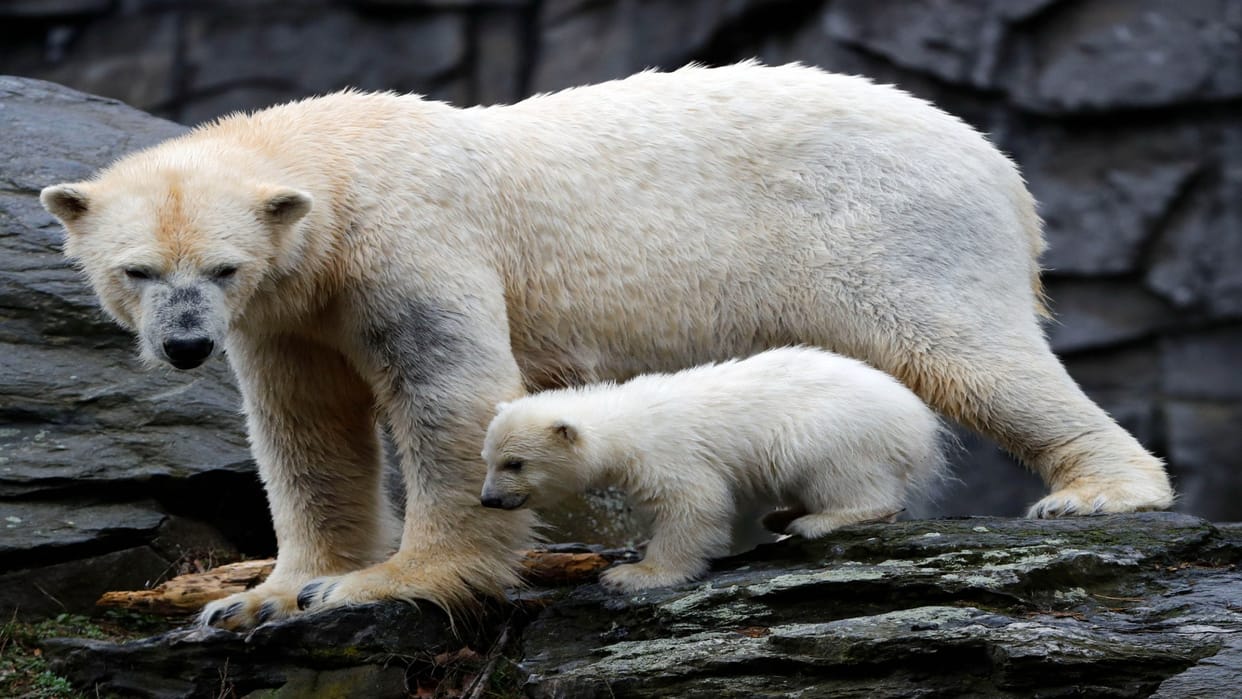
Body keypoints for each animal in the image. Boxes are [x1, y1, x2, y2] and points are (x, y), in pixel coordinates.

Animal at [479, 346, 948, 592]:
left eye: (514, 463)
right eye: (487, 458)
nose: (489, 499)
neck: (624, 423)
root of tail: (919, 423)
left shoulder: (668, 453)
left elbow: (692, 506)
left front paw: (635, 573)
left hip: (833, 429)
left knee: (840, 473)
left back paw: (819, 520)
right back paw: (782, 514)